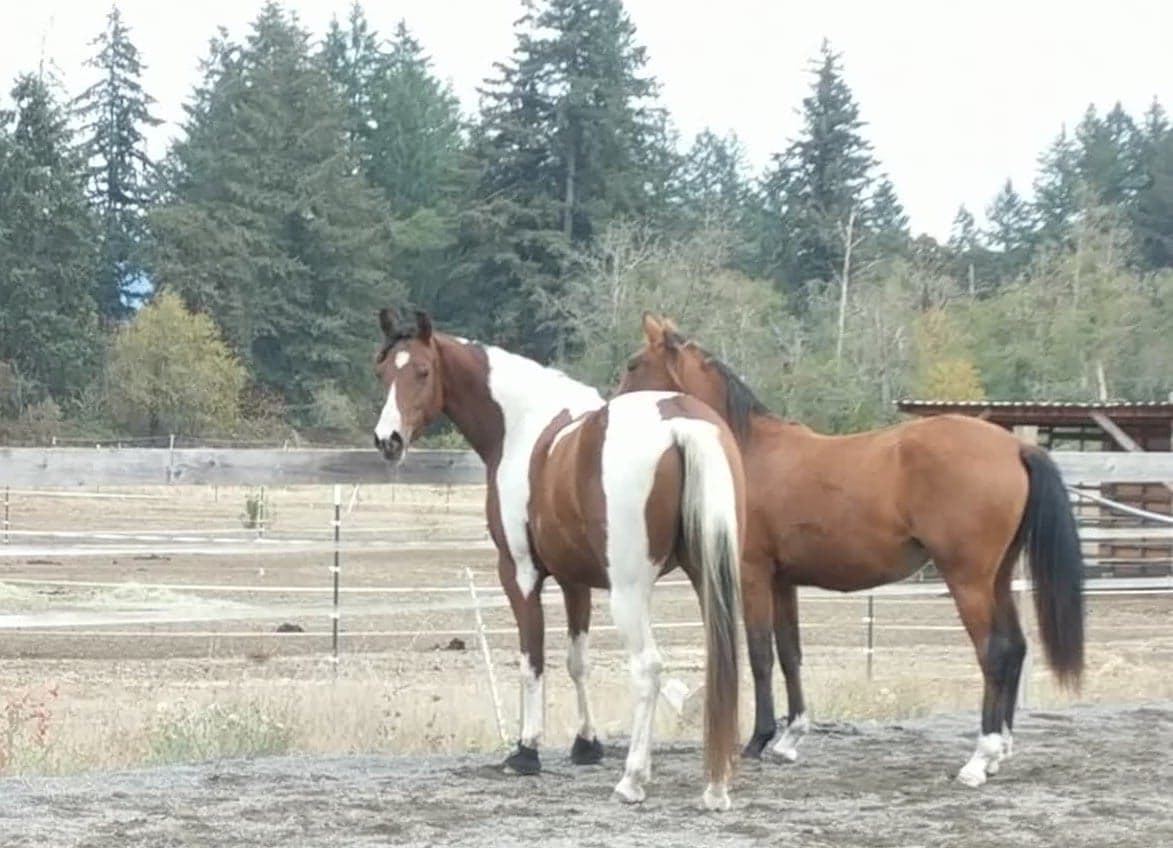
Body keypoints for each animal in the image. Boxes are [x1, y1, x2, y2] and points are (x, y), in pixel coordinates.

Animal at [371, 308, 747, 809]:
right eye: (383, 372)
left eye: (423, 371)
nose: (388, 440)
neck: (524, 427)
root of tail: (678, 421)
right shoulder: (575, 580)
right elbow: (576, 661)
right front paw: (586, 744)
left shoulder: (520, 573)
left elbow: (533, 658)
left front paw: (526, 750)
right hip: (708, 577)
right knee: (723, 666)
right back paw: (716, 786)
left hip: (630, 592)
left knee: (647, 668)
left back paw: (632, 780)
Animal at [618, 314, 1085, 788]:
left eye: (634, 364)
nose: (612, 415)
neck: (749, 451)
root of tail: (1015, 445)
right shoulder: (783, 581)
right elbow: (789, 653)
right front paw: (790, 738)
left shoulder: (753, 574)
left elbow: (760, 654)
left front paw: (758, 739)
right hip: (999, 577)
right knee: (1016, 646)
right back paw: (998, 751)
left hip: (968, 579)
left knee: (996, 651)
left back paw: (978, 758)